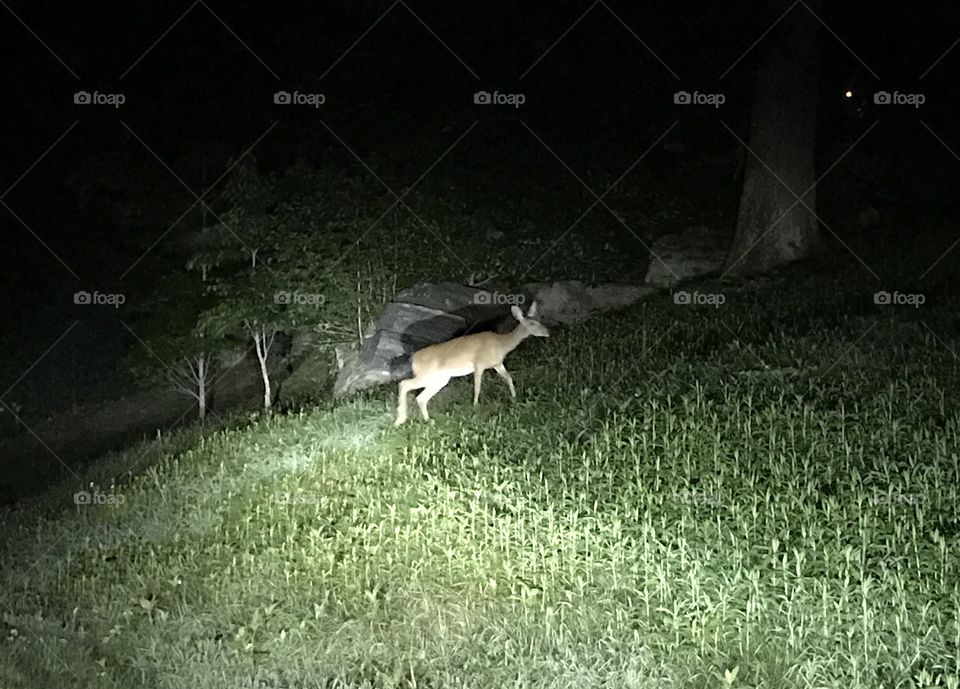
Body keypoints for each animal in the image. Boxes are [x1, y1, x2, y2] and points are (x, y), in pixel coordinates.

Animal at [394, 302, 549, 426]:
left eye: (541, 319)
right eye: (532, 323)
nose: (547, 332)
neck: (502, 344)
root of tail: (413, 358)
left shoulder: (497, 364)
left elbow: (509, 378)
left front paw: (514, 397)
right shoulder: (478, 363)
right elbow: (477, 387)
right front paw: (475, 406)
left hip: (440, 379)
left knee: (420, 397)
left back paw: (427, 420)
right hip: (426, 375)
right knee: (404, 384)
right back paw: (400, 420)